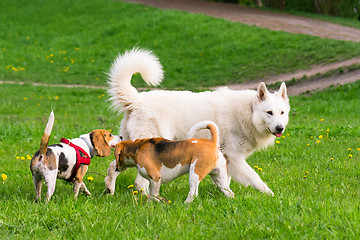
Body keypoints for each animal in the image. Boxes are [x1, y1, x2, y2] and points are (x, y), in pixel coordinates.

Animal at [106, 47, 290, 196]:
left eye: (282, 112)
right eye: (269, 112)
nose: (280, 128)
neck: (247, 111)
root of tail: (136, 100)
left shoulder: (226, 159)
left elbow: (225, 180)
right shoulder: (235, 157)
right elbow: (255, 177)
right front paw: (270, 195)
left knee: (112, 168)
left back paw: (110, 191)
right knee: (139, 182)